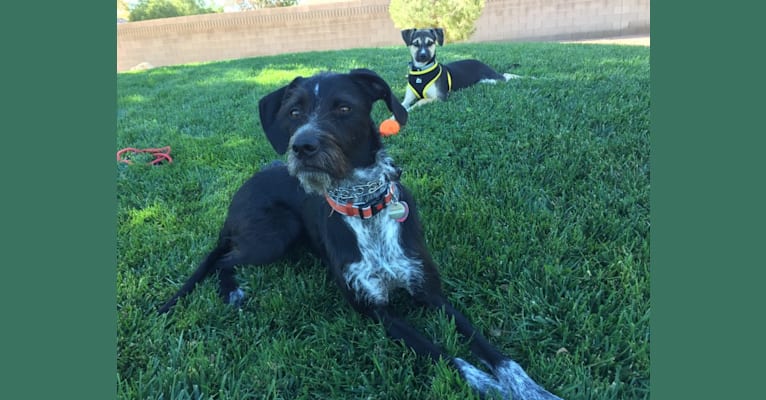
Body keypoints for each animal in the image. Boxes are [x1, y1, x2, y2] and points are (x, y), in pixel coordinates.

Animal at [158, 69, 564, 400]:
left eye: (343, 108)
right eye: (294, 113)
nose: (302, 146)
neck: (364, 203)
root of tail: (237, 196)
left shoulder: (431, 293)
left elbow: (493, 352)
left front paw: (530, 389)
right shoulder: (377, 311)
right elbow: (449, 358)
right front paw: (489, 386)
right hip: (276, 236)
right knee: (224, 258)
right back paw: (232, 290)